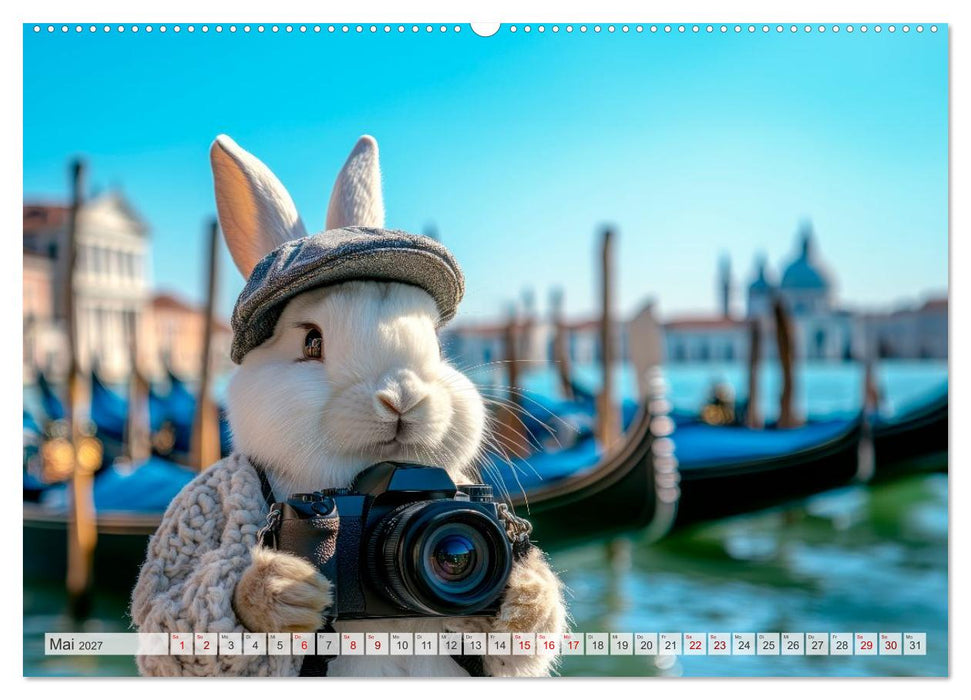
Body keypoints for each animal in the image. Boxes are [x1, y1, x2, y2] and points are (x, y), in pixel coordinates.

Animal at [130, 134, 567, 678]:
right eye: (311, 341)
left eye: (436, 343)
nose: (402, 397)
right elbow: (170, 617)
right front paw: (281, 592)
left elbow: (520, 645)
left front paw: (526, 594)